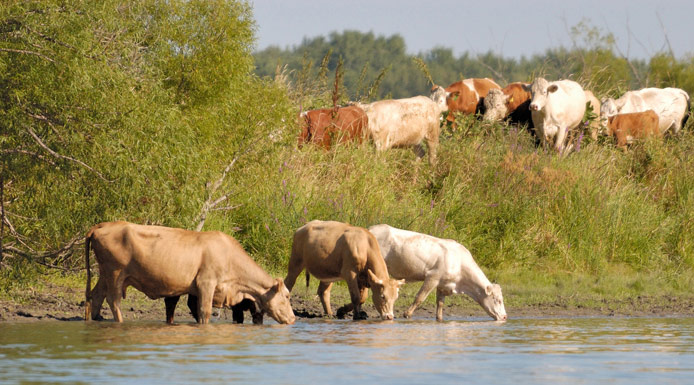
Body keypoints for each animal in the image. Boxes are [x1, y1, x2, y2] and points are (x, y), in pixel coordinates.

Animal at [85, 220, 296, 322]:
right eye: (287, 296)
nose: (293, 318)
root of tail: (103, 225)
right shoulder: (206, 284)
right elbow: (204, 312)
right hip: (115, 273)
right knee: (113, 300)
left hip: (104, 273)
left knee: (95, 295)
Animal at [370, 224, 512, 320]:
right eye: (498, 300)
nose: (505, 317)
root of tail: (373, 229)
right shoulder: (433, 276)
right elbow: (420, 297)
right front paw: (407, 314)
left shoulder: (443, 284)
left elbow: (440, 303)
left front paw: (439, 319)